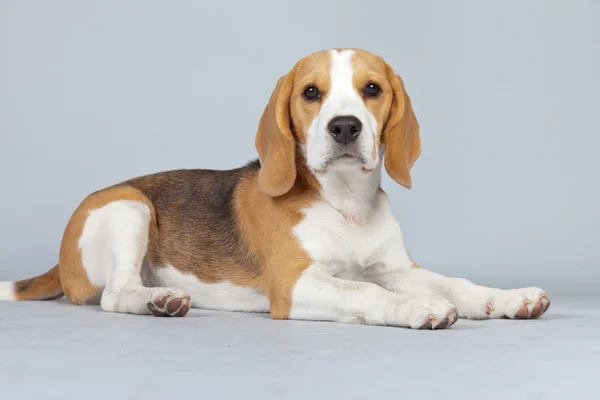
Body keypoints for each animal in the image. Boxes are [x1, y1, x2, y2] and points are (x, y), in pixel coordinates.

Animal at [0, 48, 552, 330]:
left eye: (372, 89)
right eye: (311, 93)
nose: (345, 127)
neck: (345, 203)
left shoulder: (397, 270)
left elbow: (455, 283)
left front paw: (506, 298)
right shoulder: (295, 285)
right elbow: (362, 289)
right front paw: (417, 308)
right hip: (130, 207)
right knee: (114, 295)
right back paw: (158, 302)